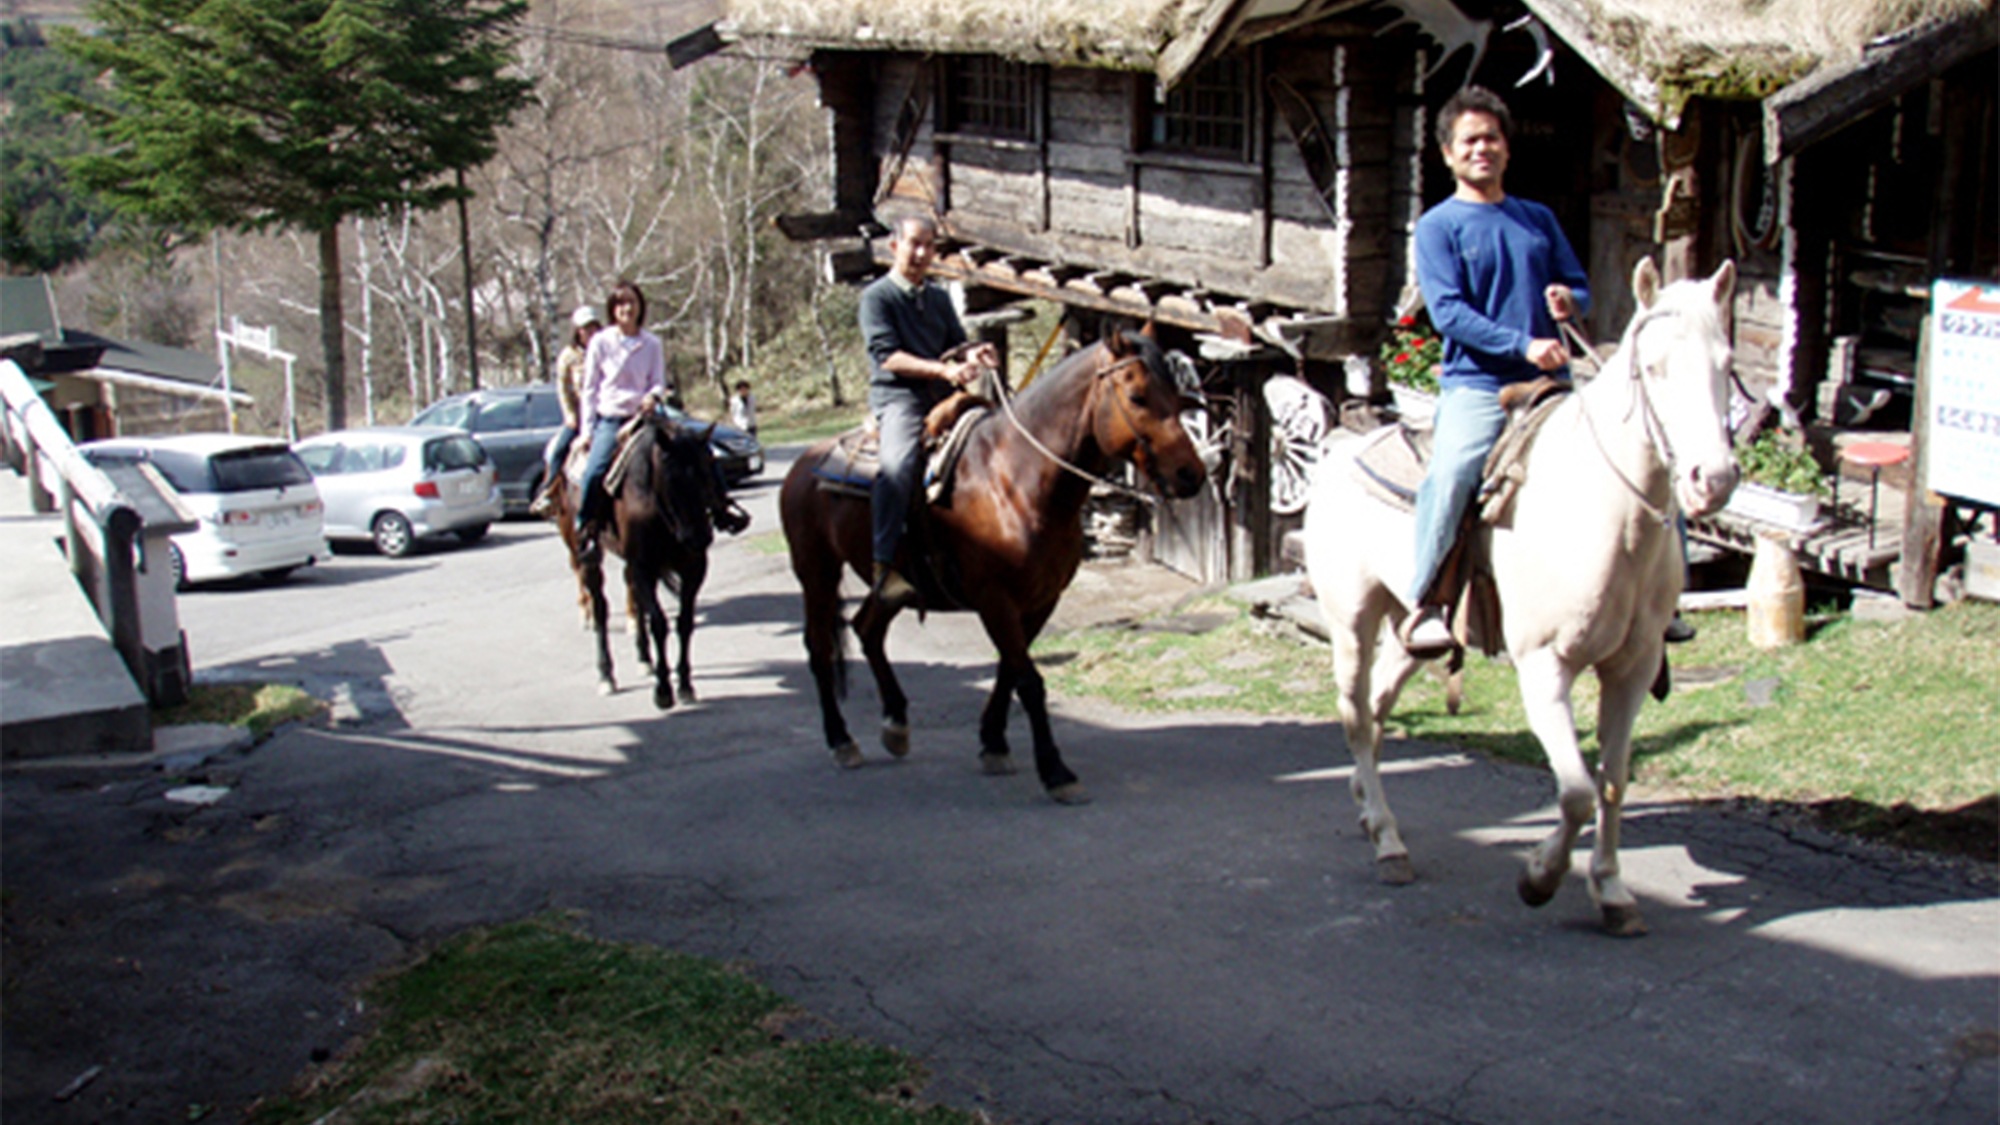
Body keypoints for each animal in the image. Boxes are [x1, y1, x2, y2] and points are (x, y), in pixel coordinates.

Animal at [552, 412, 748, 708]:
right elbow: (658, 622)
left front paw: (685, 684)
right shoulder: (643, 565)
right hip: (588, 556)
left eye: (708, 473)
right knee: (600, 608)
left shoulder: (693, 567)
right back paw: (606, 675)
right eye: (671, 480)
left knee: (634, 599)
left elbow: (684, 622)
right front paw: (663, 689)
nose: (698, 537)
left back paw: (645, 659)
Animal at [780, 328, 1200, 800]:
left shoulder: (1040, 600)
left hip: (892, 585)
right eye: (1137, 395)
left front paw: (994, 743)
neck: (1017, 479)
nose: (1191, 474)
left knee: (867, 629)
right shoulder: (995, 600)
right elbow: (1029, 681)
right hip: (816, 572)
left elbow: (1009, 671)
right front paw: (1055, 771)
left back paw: (895, 724)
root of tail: (803, 464)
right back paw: (841, 739)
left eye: (1177, 395)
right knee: (819, 648)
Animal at [1304, 258, 1744, 932]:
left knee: (1377, 708)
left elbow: (1612, 779)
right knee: (1355, 713)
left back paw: (1365, 806)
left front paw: (1612, 891)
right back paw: (1388, 841)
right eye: (1653, 367)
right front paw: (1539, 877)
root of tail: (1339, 453)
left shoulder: (1633, 668)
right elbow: (1577, 790)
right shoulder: (1546, 667)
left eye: (1726, 361)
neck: (1606, 515)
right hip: (1352, 620)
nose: (1713, 480)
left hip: (1412, 630)